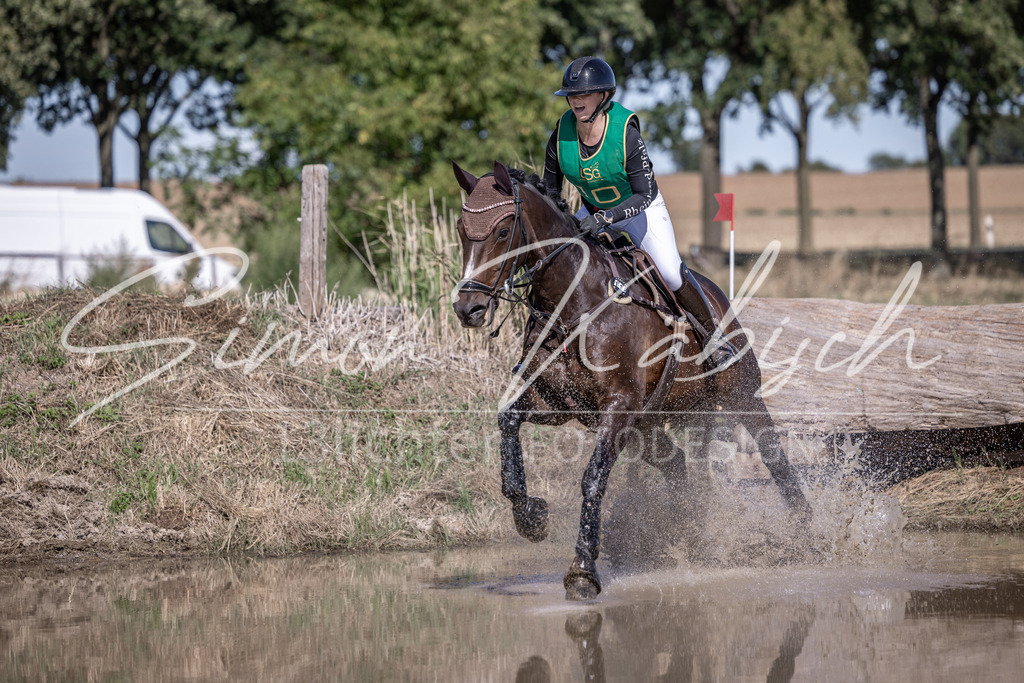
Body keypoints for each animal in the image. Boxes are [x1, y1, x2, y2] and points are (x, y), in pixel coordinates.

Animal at [451, 160, 811, 600]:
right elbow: (508, 422)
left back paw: (807, 534)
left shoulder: (618, 407)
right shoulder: (557, 404)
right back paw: (687, 533)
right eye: (461, 229)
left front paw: (583, 570)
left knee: (775, 456)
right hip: (648, 425)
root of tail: (719, 296)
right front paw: (530, 516)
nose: (468, 308)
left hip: (741, 396)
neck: (572, 304)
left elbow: (592, 480)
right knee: (676, 463)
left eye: (503, 231)